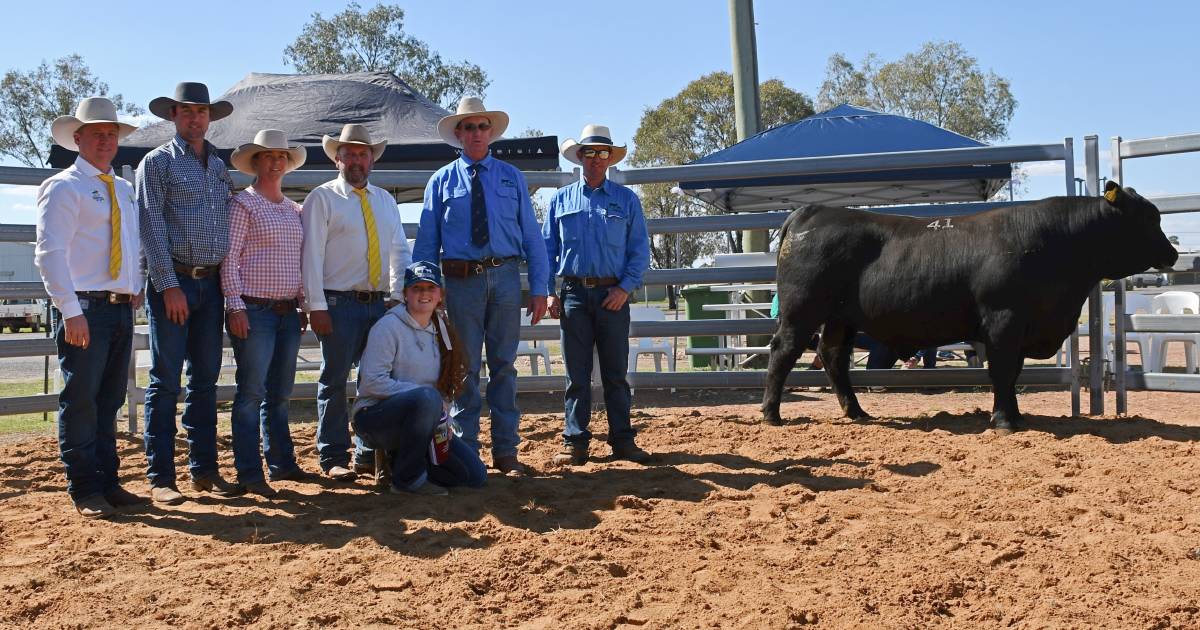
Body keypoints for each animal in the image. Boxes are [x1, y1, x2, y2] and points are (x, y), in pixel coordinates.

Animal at [763, 178, 1176, 429]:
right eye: (1145, 218)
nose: (1172, 254)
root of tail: (812, 212)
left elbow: (1013, 373)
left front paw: (1016, 417)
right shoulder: (1003, 321)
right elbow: (1003, 371)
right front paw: (1004, 421)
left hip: (840, 318)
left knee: (833, 357)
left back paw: (858, 412)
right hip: (802, 310)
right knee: (783, 352)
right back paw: (771, 414)